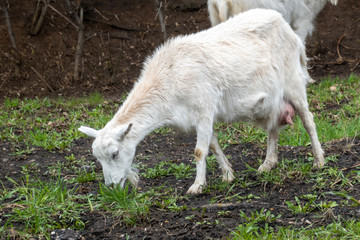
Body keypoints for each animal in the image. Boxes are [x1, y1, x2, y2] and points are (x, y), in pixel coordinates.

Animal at [78, 8, 324, 195]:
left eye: (115, 153)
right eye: (97, 158)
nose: (111, 187)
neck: (169, 78)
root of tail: (284, 24)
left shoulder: (204, 110)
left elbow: (199, 151)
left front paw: (197, 186)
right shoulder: (196, 119)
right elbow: (213, 146)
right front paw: (227, 174)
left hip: (293, 82)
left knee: (308, 120)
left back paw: (319, 160)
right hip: (272, 100)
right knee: (273, 127)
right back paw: (267, 164)